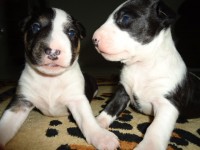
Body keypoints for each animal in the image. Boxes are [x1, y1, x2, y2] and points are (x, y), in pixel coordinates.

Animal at [0, 6, 119, 149]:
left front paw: (102, 137)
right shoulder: (21, 101)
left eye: (72, 32)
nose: (53, 51)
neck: (50, 79)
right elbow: (7, 122)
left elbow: (87, 120)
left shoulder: (77, 99)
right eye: (35, 26)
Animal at [93, 0, 200, 149]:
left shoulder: (167, 104)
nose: (94, 39)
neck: (141, 65)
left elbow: (156, 128)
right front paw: (97, 125)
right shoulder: (122, 92)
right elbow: (110, 108)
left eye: (125, 18)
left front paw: (149, 145)